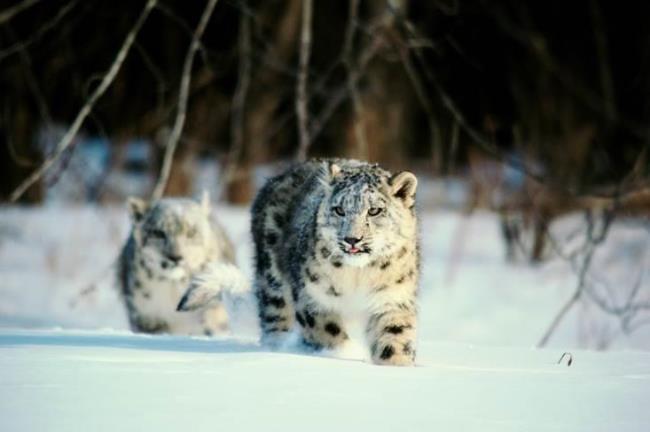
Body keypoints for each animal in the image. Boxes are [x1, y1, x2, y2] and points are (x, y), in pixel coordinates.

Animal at [249, 159, 420, 364]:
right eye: (339, 210)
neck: (358, 275)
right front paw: (343, 355)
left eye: (374, 210)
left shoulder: (392, 298)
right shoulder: (313, 296)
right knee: (275, 315)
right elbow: (328, 330)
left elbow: (395, 335)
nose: (352, 239)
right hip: (272, 281)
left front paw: (396, 363)